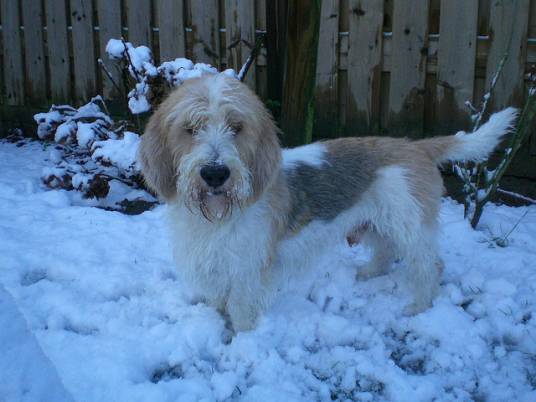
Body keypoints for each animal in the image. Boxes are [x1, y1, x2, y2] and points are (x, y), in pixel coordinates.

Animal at [139, 74, 520, 332]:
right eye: (191, 128)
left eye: (237, 126)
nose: (215, 173)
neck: (218, 215)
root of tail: (417, 146)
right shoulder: (215, 264)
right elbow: (220, 301)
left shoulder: (249, 268)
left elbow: (241, 307)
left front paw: (242, 339)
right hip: (376, 220)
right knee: (385, 251)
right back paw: (369, 272)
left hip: (409, 225)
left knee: (430, 265)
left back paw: (419, 306)